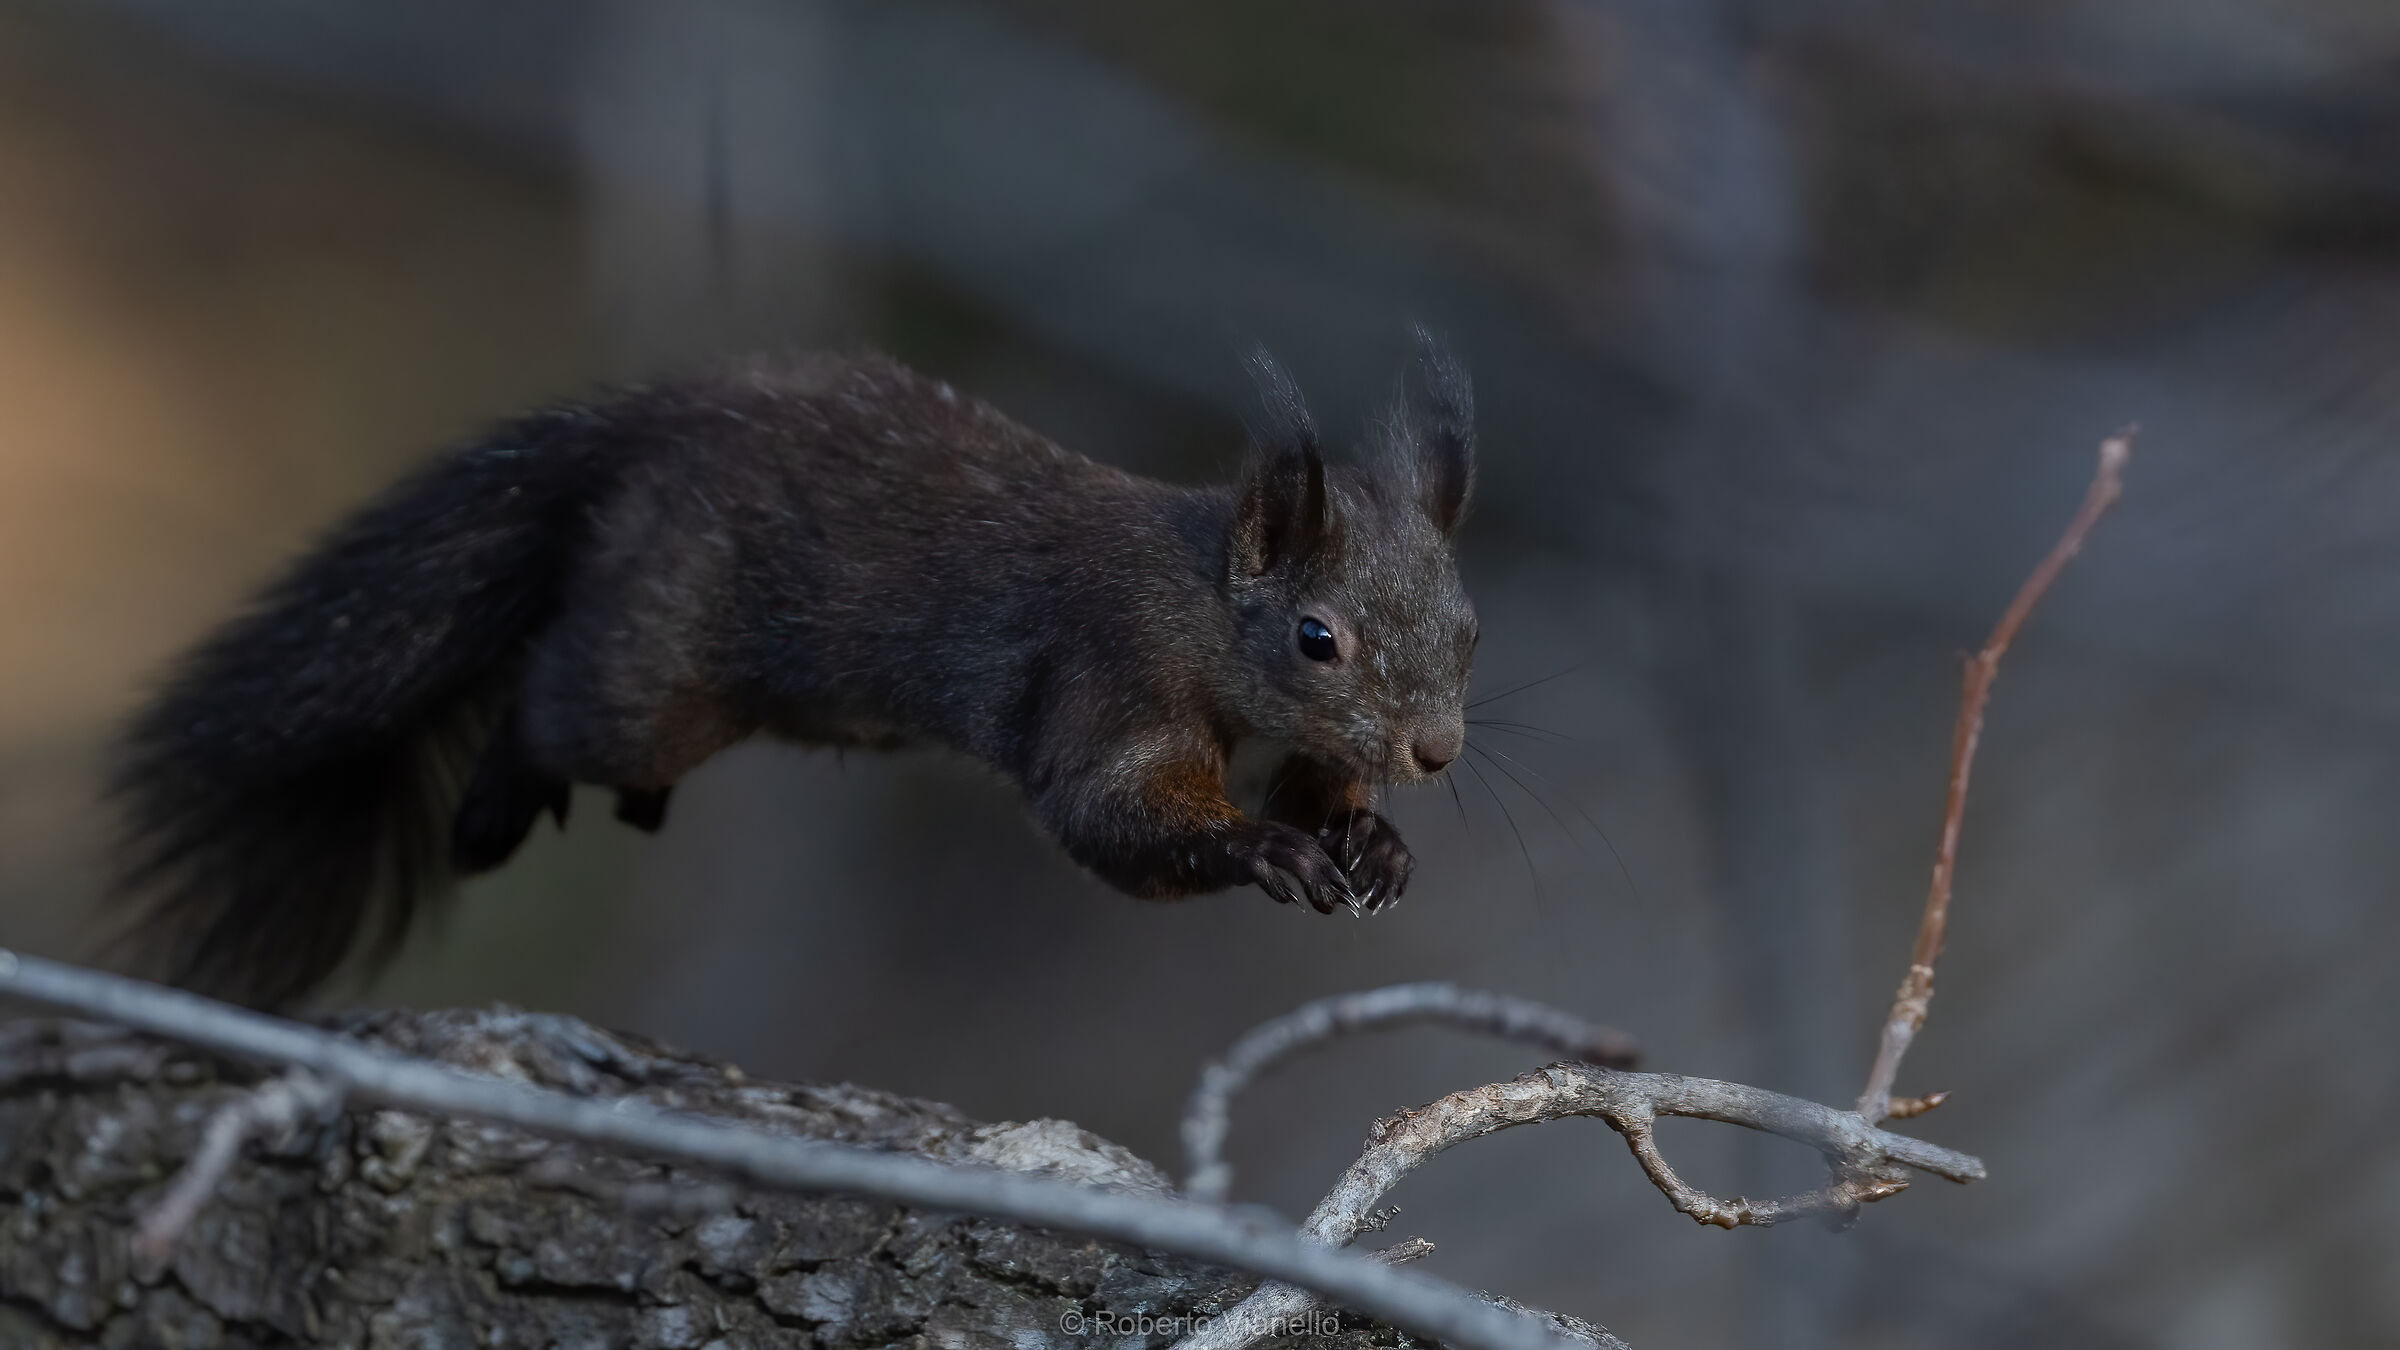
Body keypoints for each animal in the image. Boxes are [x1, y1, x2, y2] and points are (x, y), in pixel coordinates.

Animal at [106, 332, 1480, 1009]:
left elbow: (1315, 789)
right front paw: (1272, 850)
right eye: (1317, 638)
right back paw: (501, 795)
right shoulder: (1110, 675)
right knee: (552, 697)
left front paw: (1373, 842)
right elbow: (1113, 817)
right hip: (654, 664)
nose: (1439, 752)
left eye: (1471, 630)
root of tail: (651, 433)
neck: (1202, 611)